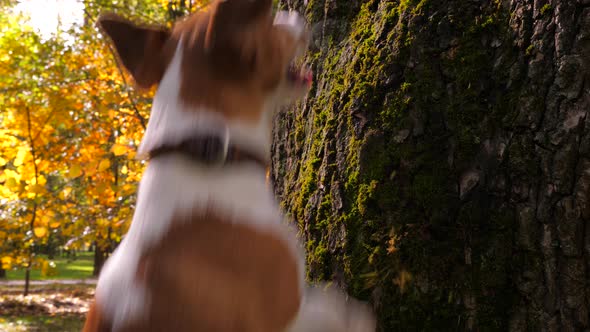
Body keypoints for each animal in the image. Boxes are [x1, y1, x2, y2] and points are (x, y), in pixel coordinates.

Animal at [82, 1, 380, 330]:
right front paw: (355, 315)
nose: (291, 14)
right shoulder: (284, 311)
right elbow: (332, 309)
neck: (208, 154)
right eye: (269, 25)